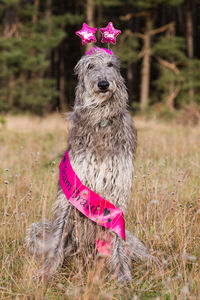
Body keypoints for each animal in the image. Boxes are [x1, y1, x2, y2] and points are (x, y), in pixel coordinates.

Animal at [27, 47, 152, 284]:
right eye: (90, 66)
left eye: (111, 65)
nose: (103, 84)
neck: (101, 120)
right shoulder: (74, 187)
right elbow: (58, 237)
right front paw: (46, 273)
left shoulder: (118, 190)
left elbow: (118, 244)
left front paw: (122, 276)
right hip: (38, 229)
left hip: (133, 241)